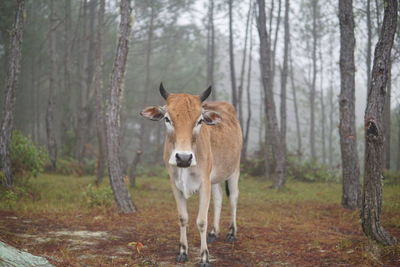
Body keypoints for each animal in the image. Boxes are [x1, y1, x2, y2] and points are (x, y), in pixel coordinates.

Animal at [139, 84, 242, 267]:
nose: (183, 157)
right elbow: (183, 218)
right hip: (215, 177)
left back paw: (231, 233)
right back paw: (214, 232)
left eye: (199, 120)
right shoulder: (175, 184)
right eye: (167, 119)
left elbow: (201, 221)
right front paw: (182, 252)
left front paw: (204, 257)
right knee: (218, 198)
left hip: (234, 169)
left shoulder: (204, 183)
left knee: (233, 198)